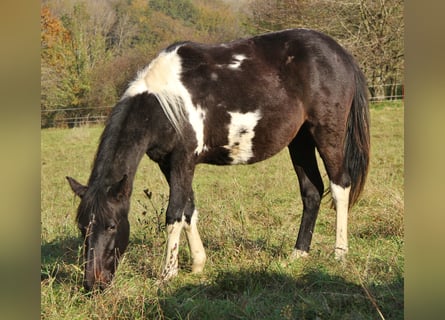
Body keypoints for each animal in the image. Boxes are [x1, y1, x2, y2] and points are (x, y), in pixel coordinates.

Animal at [66, 28, 370, 292]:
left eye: (112, 225)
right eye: (82, 228)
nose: (93, 284)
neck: (165, 103)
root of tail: (340, 53)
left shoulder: (183, 160)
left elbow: (174, 214)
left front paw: (167, 274)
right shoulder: (167, 163)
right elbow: (189, 210)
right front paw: (198, 264)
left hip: (327, 133)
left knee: (340, 186)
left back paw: (339, 253)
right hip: (300, 140)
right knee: (312, 192)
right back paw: (298, 254)